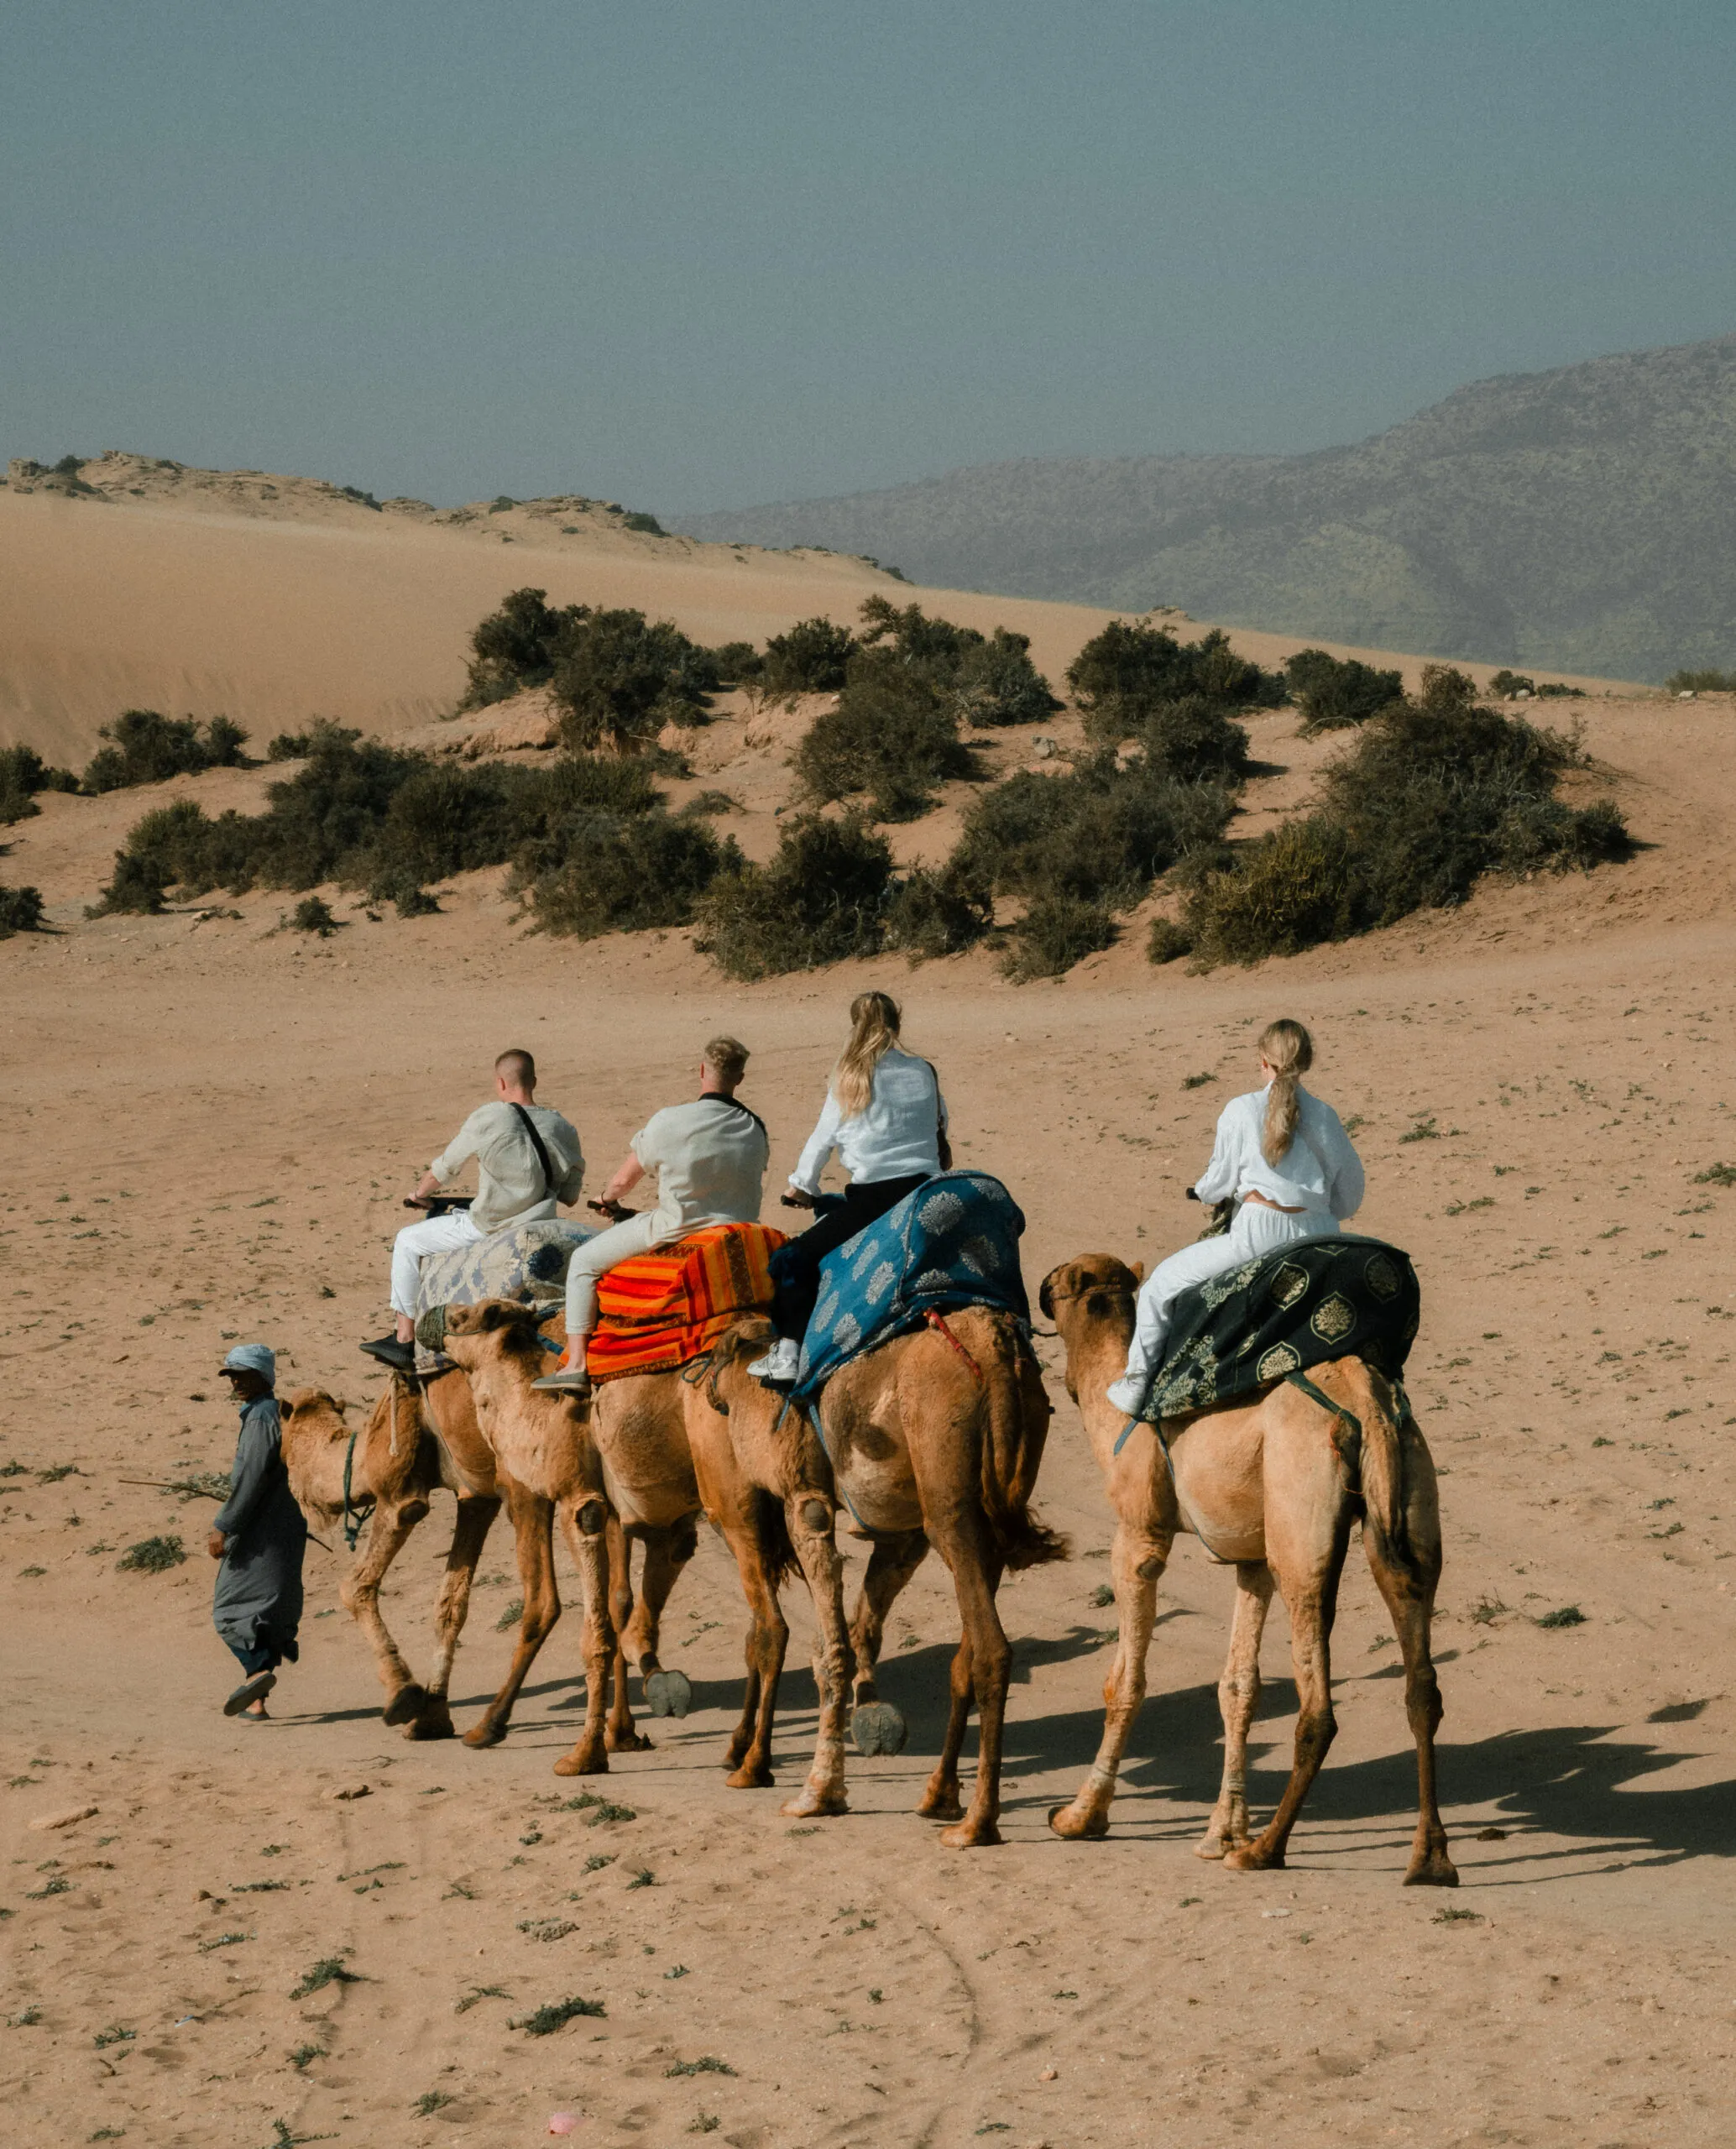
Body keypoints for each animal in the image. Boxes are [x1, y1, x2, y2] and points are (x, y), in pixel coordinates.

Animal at [705, 1305, 1065, 1848]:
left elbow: (829, 1650)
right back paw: (939, 1796)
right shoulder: (903, 1536)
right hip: (994, 1509)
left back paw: (976, 1823)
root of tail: (998, 1359)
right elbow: (860, 1633)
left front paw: (811, 1791)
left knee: (993, 1652)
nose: (708, 1388)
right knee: (967, 1654)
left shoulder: (805, 1499)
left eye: (721, 1350)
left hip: (950, 1501)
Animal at [1038, 1255, 1455, 1886]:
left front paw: (1080, 1815)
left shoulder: (1138, 1535)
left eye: (1054, 1289)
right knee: (1421, 1683)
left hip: (1302, 1531)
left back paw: (1264, 1850)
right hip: (1409, 1496)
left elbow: (1124, 1681)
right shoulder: (1250, 1558)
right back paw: (1429, 1859)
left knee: (1319, 1709)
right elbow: (1238, 1685)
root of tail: (1368, 1407)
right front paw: (1220, 1832)